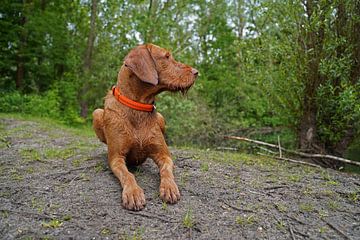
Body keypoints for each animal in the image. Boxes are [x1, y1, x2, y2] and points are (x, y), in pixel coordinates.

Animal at [91, 43, 198, 210]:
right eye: (167, 56)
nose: (196, 72)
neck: (138, 108)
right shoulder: (116, 159)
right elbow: (128, 175)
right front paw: (133, 192)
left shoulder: (164, 155)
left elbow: (166, 171)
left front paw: (169, 187)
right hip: (96, 113)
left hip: (161, 118)